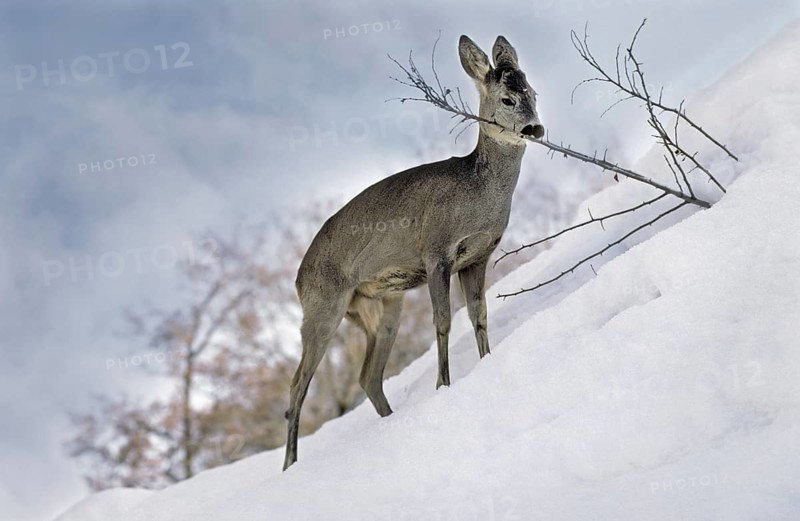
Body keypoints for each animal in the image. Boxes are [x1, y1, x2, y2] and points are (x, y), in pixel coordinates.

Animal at [283, 34, 543, 470]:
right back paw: (290, 465)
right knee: (297, 384)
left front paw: (487, 363)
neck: (479, 196)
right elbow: (443, 321)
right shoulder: (436, 251)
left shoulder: (478, 256)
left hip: (382, 304)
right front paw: (443, 386)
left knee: (367, 376)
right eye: (508, 99)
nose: (535, 127)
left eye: (534, 94)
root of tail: (297, 281)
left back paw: (391, 422)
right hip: (324, 305)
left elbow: (479, 316)